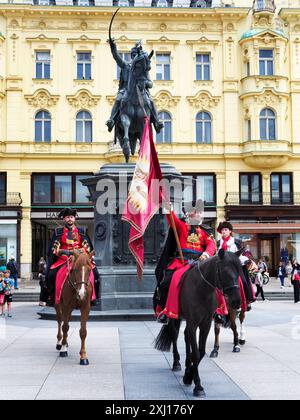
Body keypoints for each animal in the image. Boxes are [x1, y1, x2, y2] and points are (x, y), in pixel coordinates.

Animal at [155, 249, 241, 398]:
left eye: (239, 271)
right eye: (225, 271)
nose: (236, 302)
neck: (202, 289)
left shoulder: (205, 323)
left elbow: (200, 351)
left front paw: (189, 376)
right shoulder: (193, 322)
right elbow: (195, 352)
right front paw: (198, 385)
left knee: (185, 336)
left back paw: (187, 366)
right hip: (174, 316)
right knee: (174, 335)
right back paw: (177, 363)